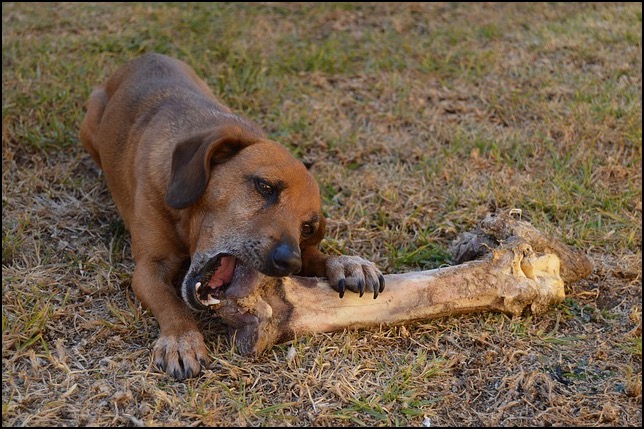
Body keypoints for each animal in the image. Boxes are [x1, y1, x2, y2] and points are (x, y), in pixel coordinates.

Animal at [80, 52, 382, 378]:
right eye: (265, 187)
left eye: (307, 227)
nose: (291, 262)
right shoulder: (148, 267)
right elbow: (170, 302)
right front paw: (182, 339)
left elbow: (317, 256)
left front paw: (346, 263)